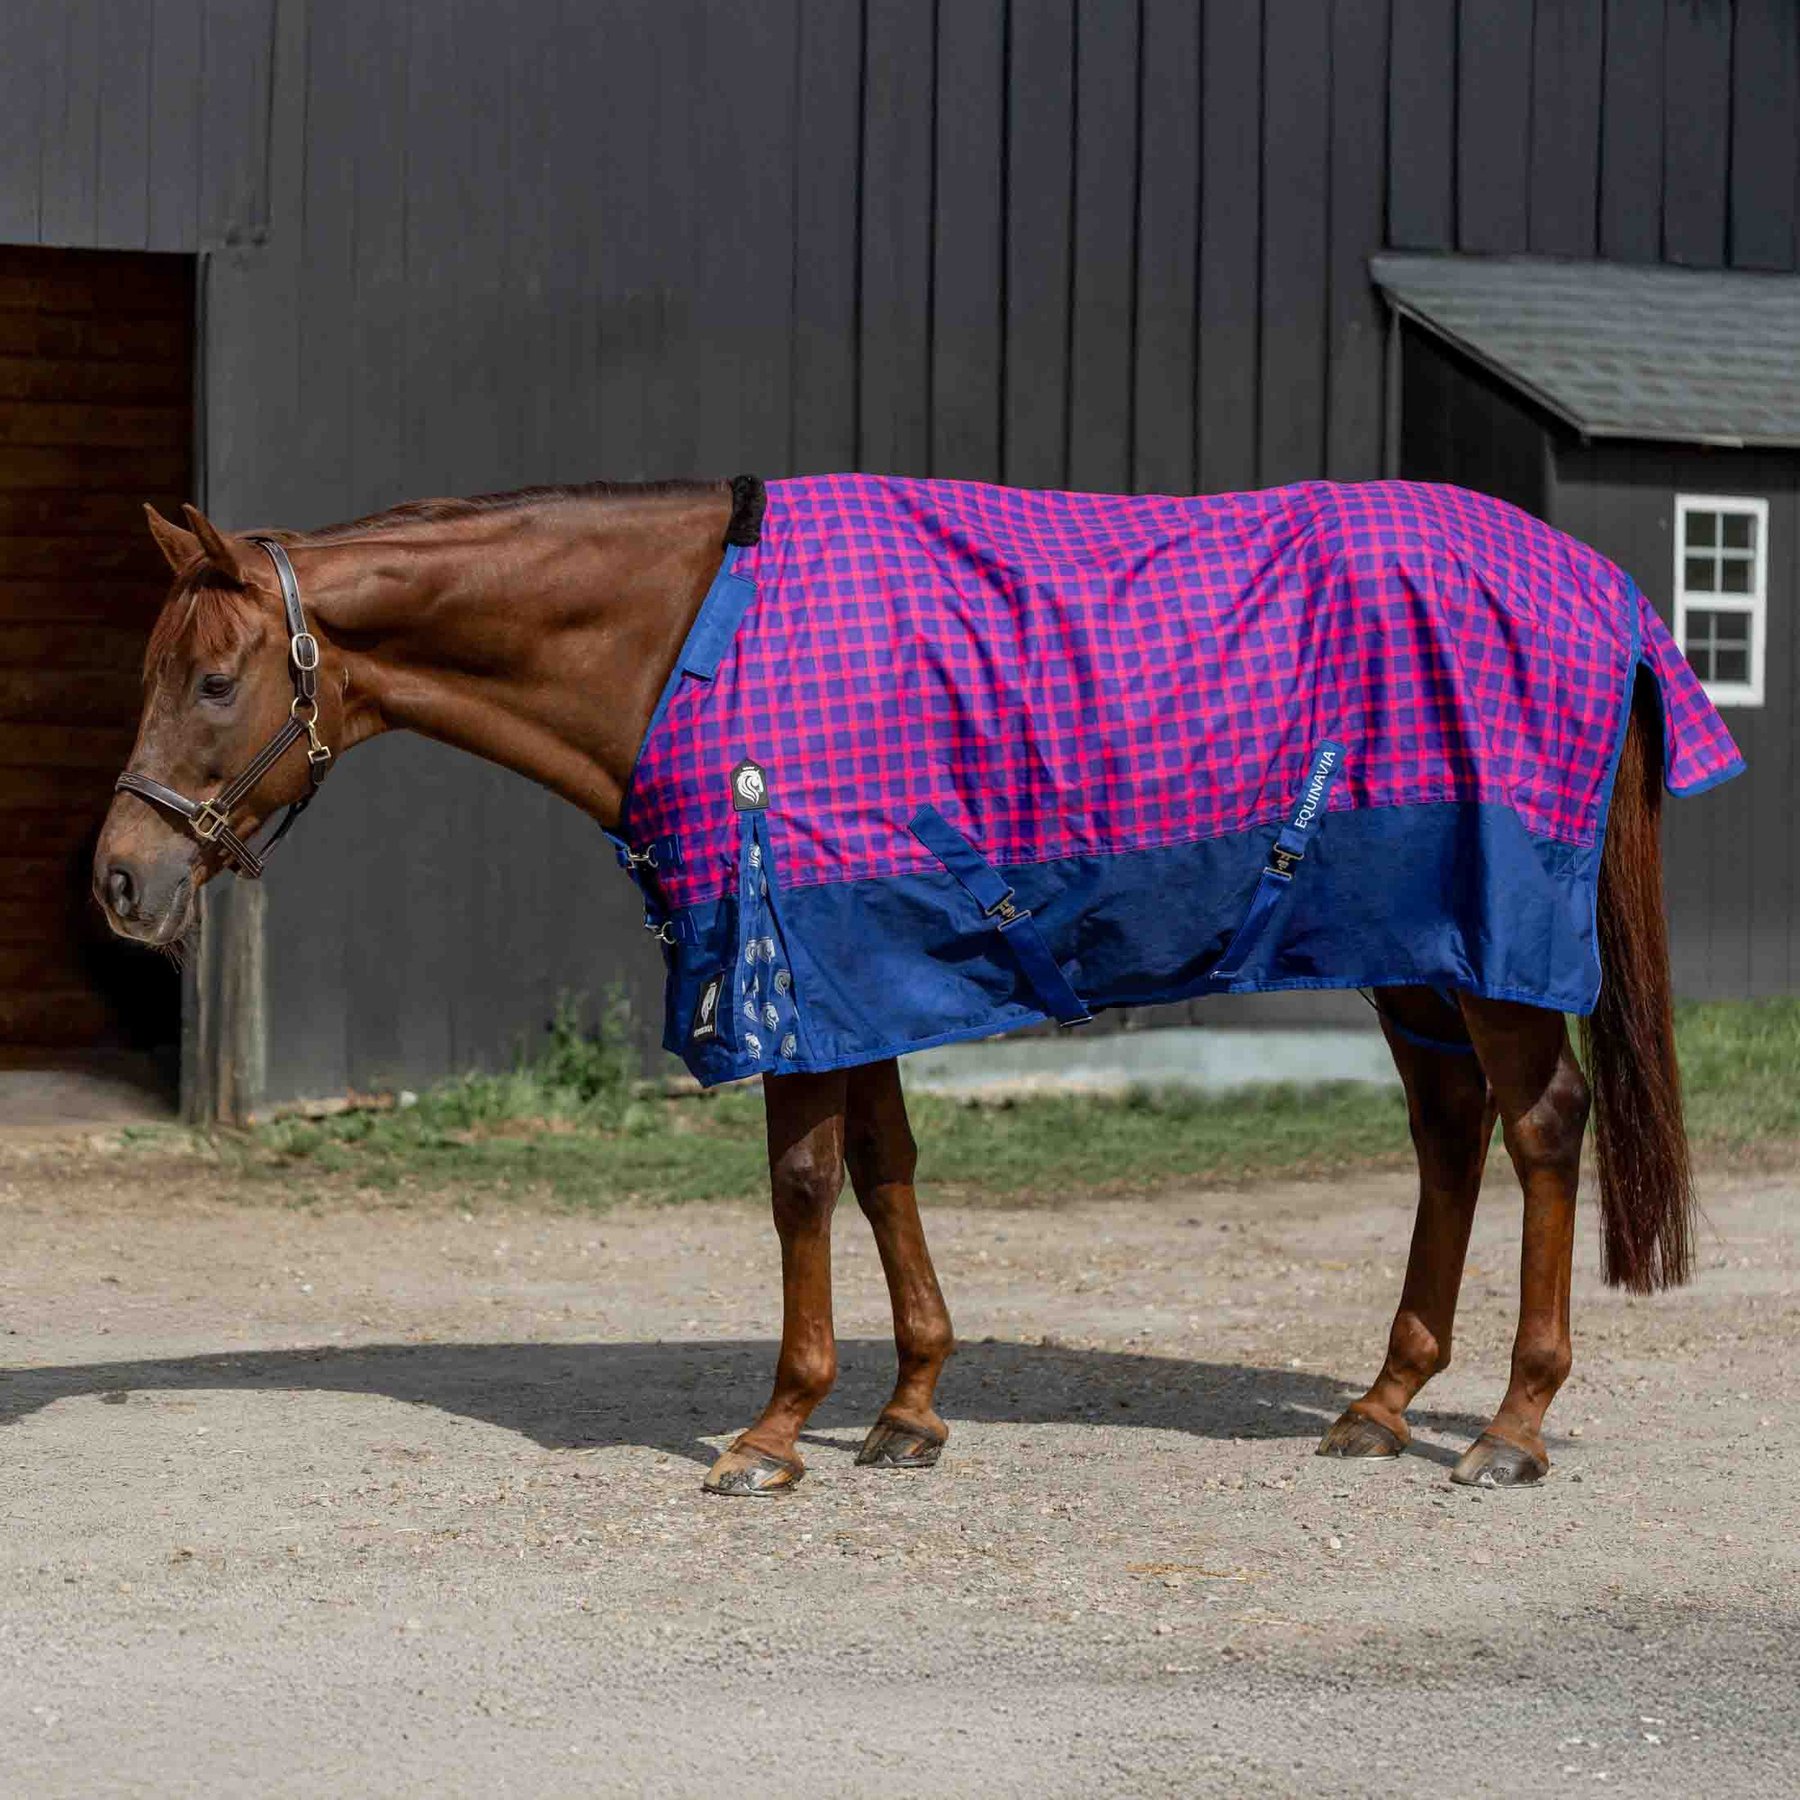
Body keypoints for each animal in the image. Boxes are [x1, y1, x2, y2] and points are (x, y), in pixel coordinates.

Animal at [94, 475, 1734, 1495]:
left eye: (216, 681)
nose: (119, 881)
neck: (693, 635)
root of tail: (1602, 591)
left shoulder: (797, 962)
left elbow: (806, 1185)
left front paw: (777, 1429)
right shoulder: (856, 963)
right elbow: (884, 1170)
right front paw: (908, 1410)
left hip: (1494, 951)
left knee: (1543, 1128)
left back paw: (1512, 1423)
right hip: (1417, 952)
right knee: (1451, 1137)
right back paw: (1384, 1404)